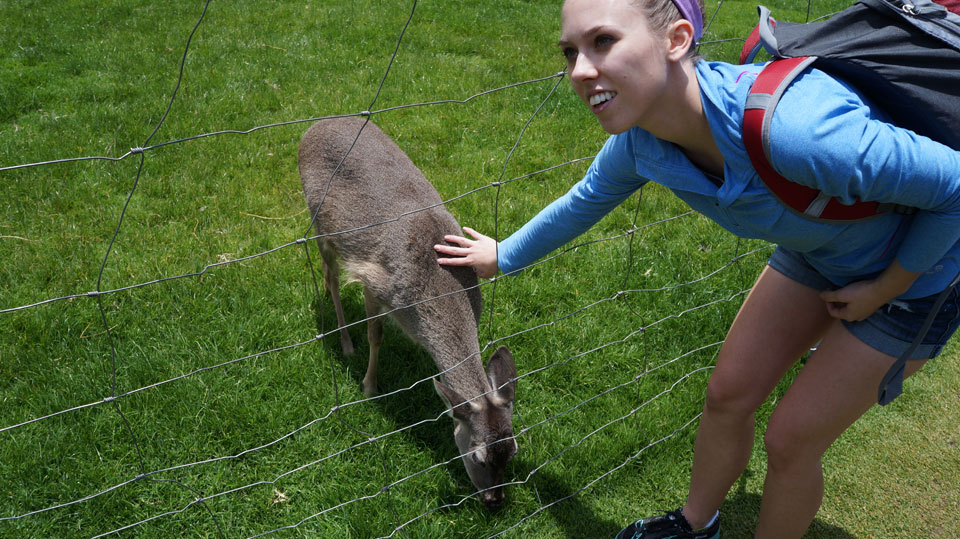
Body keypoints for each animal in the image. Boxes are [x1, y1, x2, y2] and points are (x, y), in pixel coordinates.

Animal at [298, 115, 516, 510]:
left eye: (513, 452)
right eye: (477, 456)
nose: (494, 500)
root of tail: (314, 126)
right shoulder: (375, 280)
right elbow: (377, 334)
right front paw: (369, 386)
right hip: (319, 221)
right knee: (330, 276)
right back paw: (344, 341)